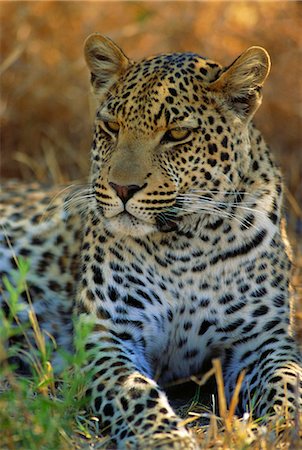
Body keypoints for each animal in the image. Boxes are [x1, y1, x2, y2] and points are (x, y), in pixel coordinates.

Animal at [0, 35, 302, 450]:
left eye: (176, 134)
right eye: (111, 127)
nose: (122, 188)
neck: (187, 245)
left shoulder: (264, 339)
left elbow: (288, 382)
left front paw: (284, 428)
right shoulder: (108, 333)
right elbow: (135, 393)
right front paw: (166, 438)